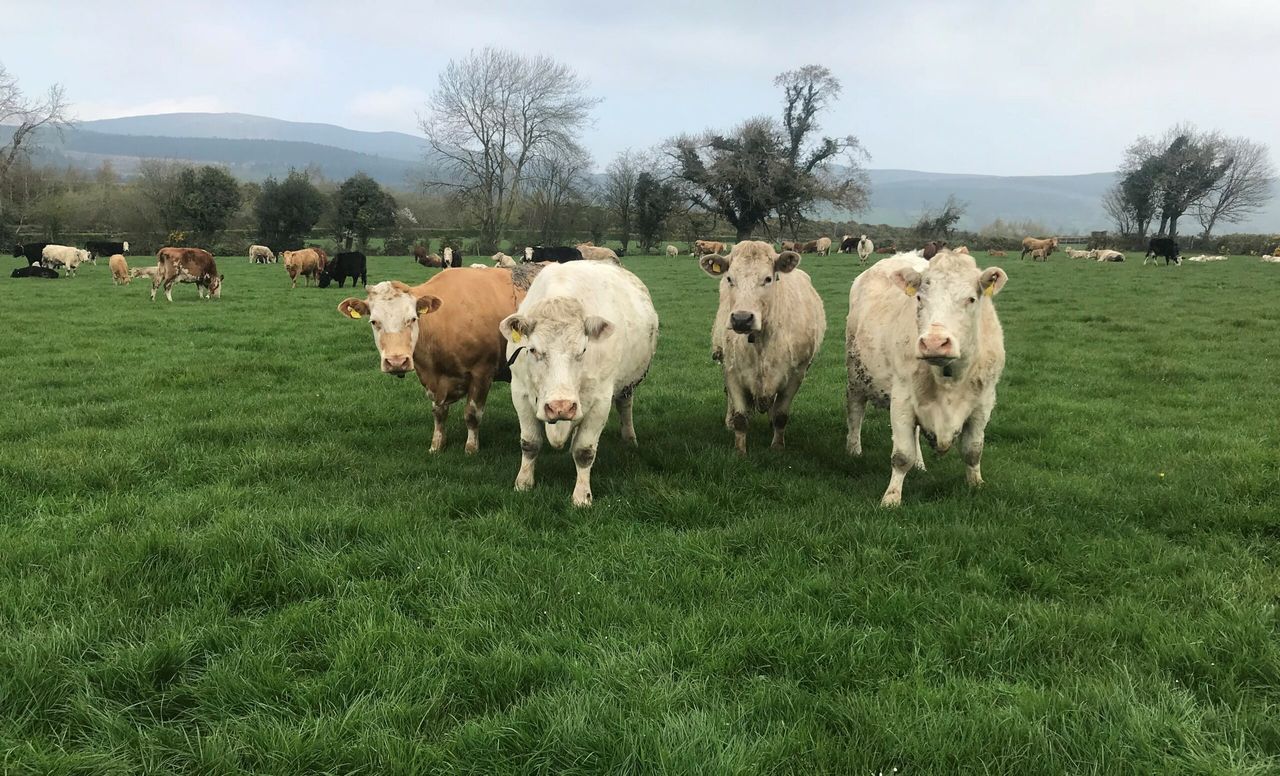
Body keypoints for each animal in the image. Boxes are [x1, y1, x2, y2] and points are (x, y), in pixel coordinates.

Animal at [338, 265, 542, 454]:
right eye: (374, 322)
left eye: (412, 319)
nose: (396, 362)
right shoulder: (433, 379)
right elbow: (438, 413)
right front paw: (436, 445)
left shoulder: (482, 372)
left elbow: (472, 415)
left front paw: (471, 448)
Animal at [500, 261, 658, 507]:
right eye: (532, 349)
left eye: (583, 349)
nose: (561, 407)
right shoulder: (520, 393)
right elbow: (530, 443)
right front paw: (523, 484)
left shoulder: (601, 401)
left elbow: (584, 451)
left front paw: (582, 496)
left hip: (627, 384)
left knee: (625, 406)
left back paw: (629, 437)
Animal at [700, 241, 825, 455]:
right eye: (730, 278)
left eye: (768, 278)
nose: (741, 319)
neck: (761, 341)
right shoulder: (732, 372)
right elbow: (741, 417)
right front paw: (740, 451)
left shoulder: (796, 375)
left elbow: (781, 415)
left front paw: (777, 446)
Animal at [845, 249, 1008, 507]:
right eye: (920, 298)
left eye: (971, 299)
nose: (934, 342)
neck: (949, 376)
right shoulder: (902, 399)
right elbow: (902, 455)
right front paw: (891, 498)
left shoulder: (983, 403)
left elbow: (973, 451)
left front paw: (976, 484)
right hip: (856, 375)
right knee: (855, 412)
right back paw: (854, 451)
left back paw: (921, 465)